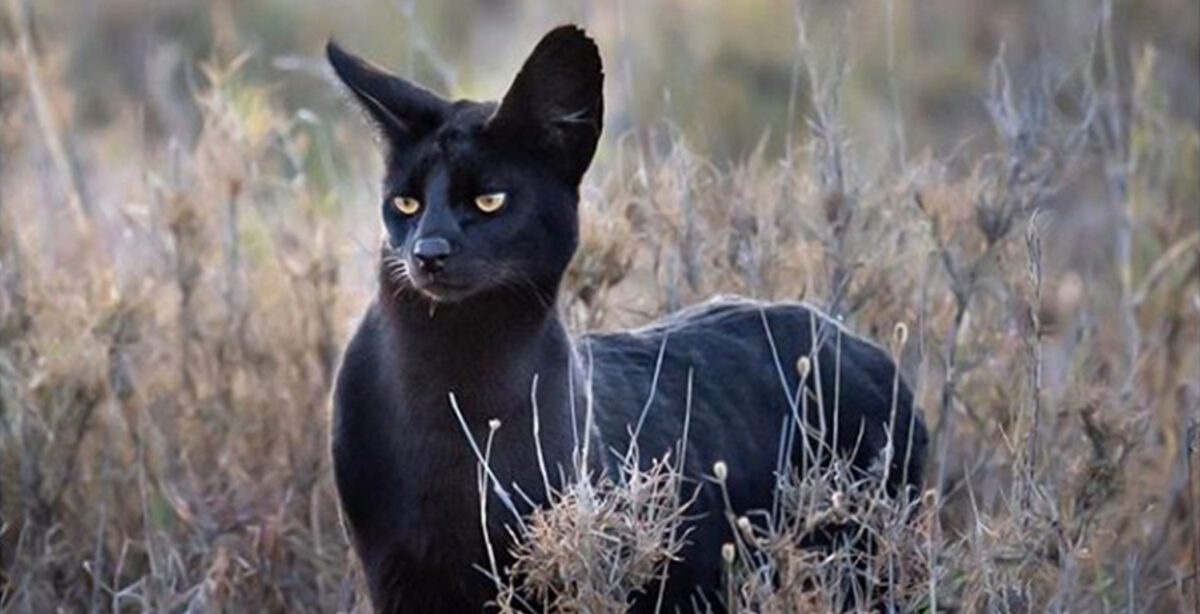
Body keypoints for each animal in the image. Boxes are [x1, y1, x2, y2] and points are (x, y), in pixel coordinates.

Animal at [328, 25, 926, 614]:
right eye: (404, 204)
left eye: (489, 200)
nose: (428, 251)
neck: (450, 378)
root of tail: (861, 346)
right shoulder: (397, 574)